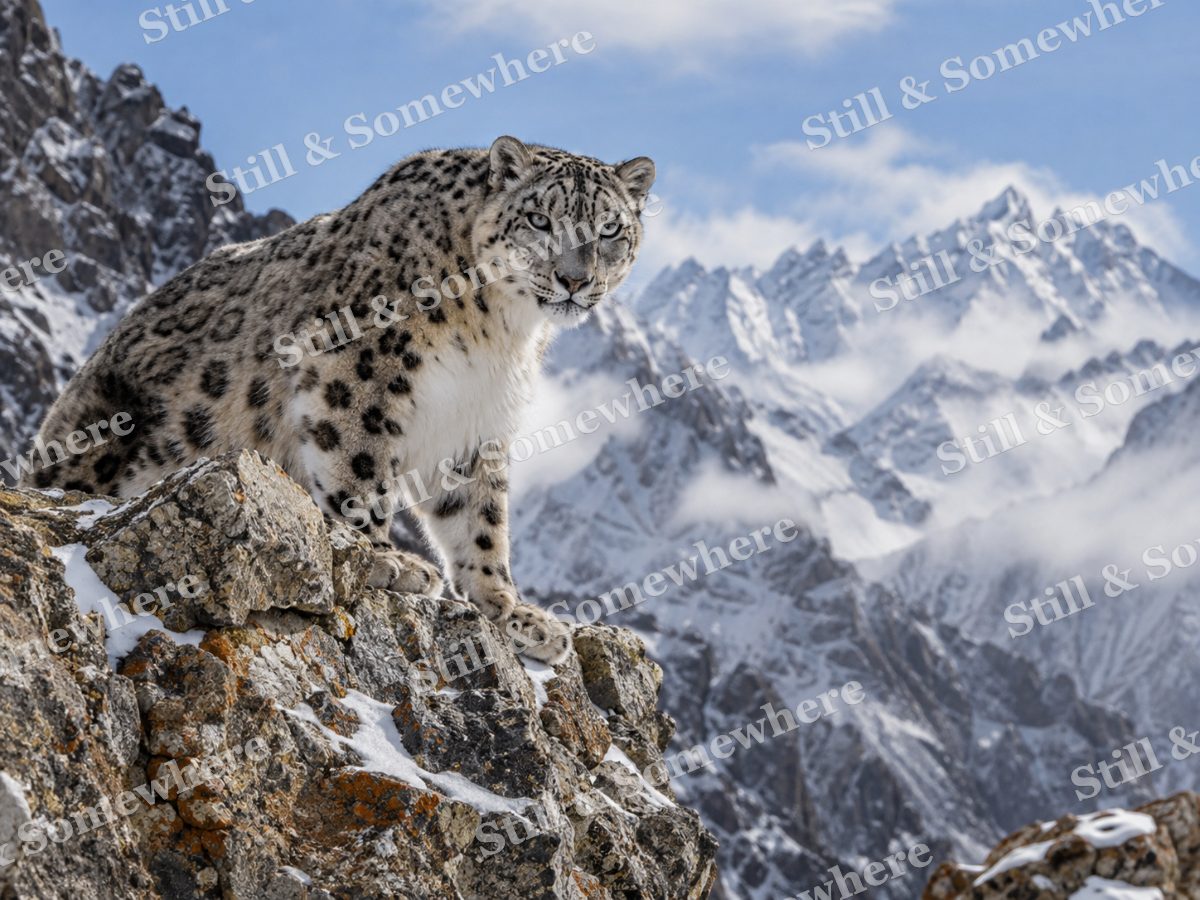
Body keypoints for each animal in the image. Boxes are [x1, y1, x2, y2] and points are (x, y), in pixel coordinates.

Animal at [22, 135, 656, 665]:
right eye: (540, 220)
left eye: (608, 230)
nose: (575, 280)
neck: (499, 331)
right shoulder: (357, 368)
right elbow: (358, 464)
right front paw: (385, 559)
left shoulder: (476, 422)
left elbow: (479, 516)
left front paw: (509, 608)